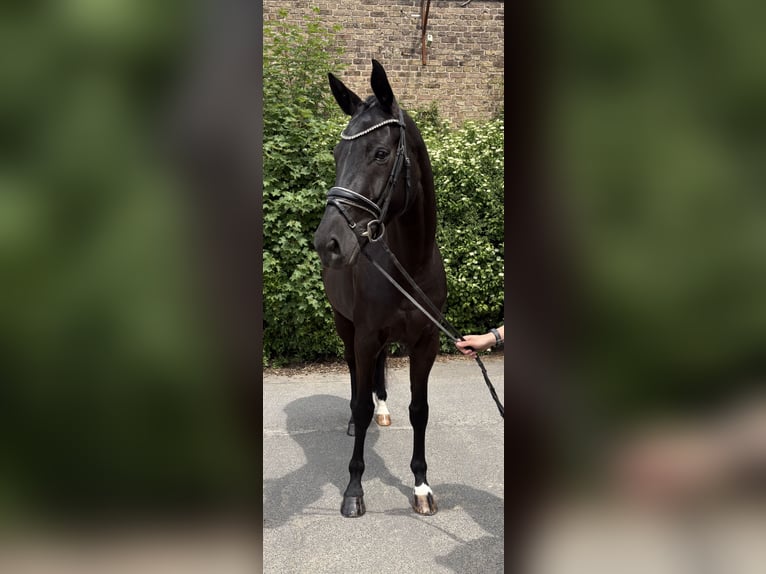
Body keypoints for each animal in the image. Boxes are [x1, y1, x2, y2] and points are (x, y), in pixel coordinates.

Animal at [313, 60, 447, 517]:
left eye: (381, 153)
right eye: (336, 155)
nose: (328, 242)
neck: (409, 265)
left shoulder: (425, 342)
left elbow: (421, 410)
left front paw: (422, 487)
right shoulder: (366, 334)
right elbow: (358, 399)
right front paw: (354, 489)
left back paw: (384, 411)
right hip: (345, 325)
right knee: (357, 376)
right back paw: (358, 422)